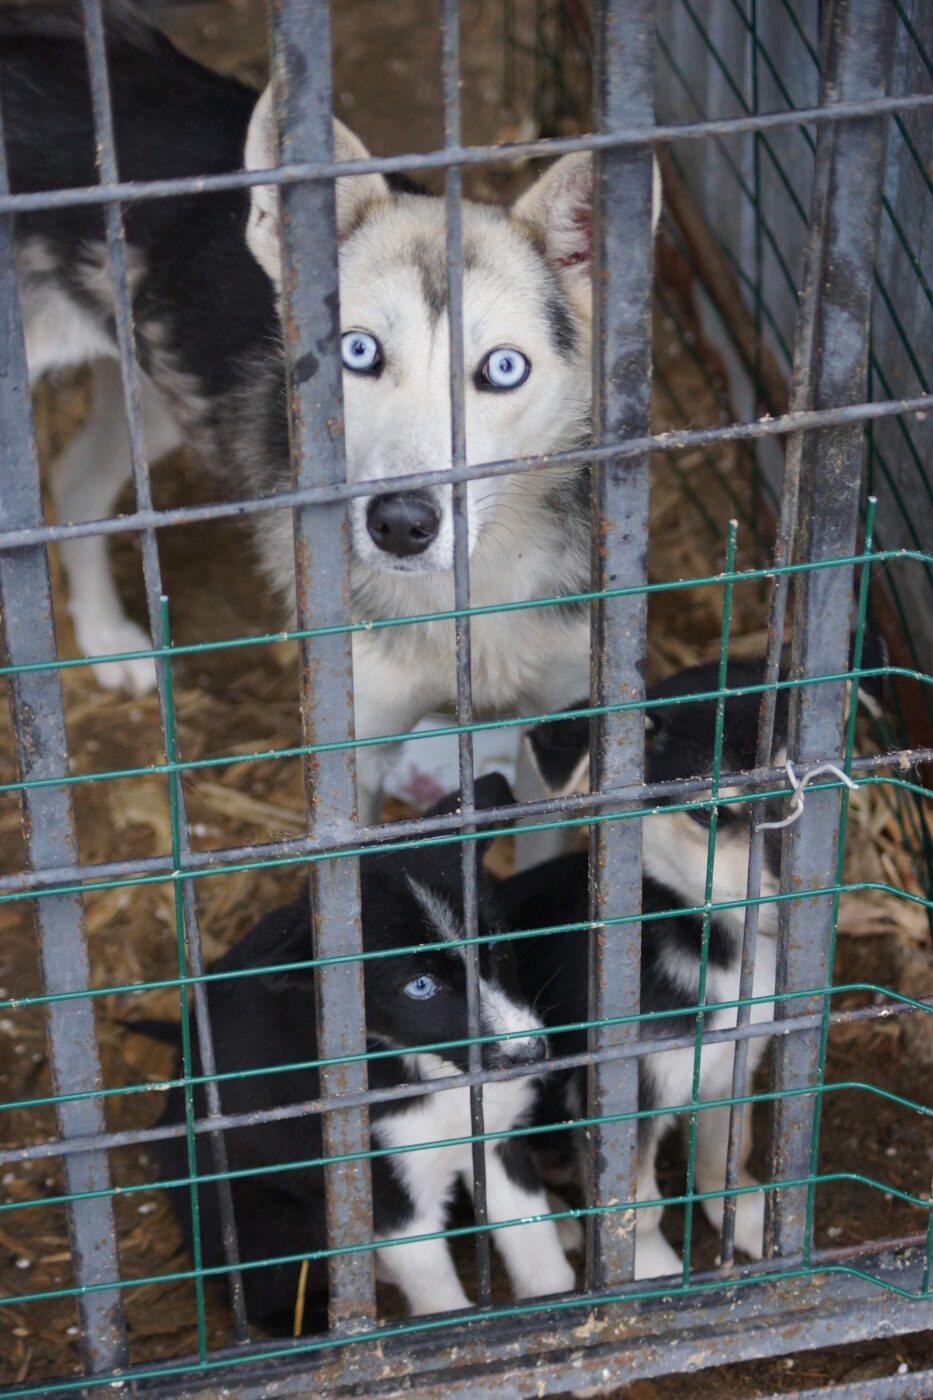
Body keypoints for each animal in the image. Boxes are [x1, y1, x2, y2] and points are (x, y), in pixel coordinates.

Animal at [7, 2, 658, 817]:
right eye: (356, 351)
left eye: (503, 368)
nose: (401, 524)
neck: (474, 585)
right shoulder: (355, 749)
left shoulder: (568, 721)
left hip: (153, 399)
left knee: (75, 483)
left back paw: (107, 639)